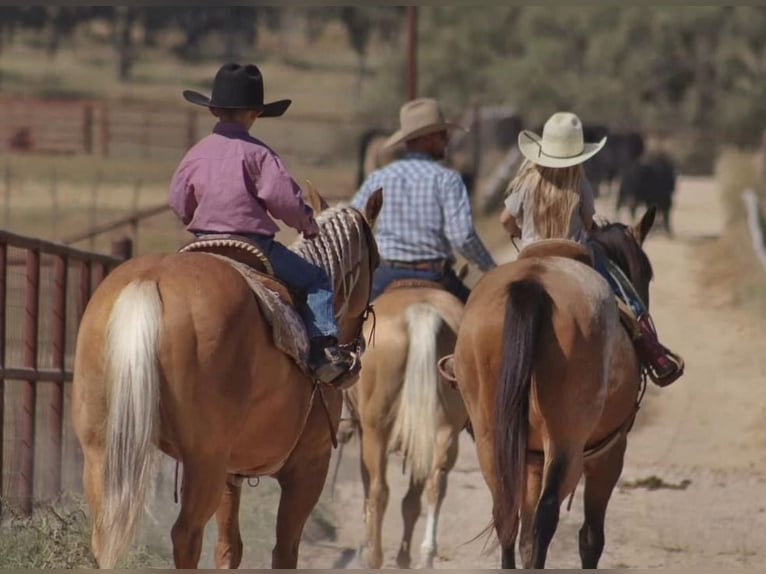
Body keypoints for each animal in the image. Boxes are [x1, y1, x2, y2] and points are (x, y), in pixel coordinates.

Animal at [70, 187, 384, 568]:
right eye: (376, 262)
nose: (349, 354)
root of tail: (150, 280)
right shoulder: (310, 465)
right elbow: (285, 550)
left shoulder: (231, 473)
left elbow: (229, 547)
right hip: (204, 461)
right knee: (186, 535)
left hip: (101, 451)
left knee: (105, 536)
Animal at [344, 284, 468, 572]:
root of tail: (421, 310)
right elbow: (411, 502)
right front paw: (403, 557)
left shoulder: (367, 435)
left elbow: (369, 493)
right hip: (443, 433)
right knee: (436, 484)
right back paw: (426, 554)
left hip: (375, 433)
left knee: (379, 490)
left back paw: (374, 557)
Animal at [452, 209, 664, 568]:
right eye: (646, 272)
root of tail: (533, 283)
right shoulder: (609, 454)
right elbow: (590, 538)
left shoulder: (531, 460)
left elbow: (524, 535)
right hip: (567, 440)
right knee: (547, 514)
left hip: (491, 437)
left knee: (505, 511)